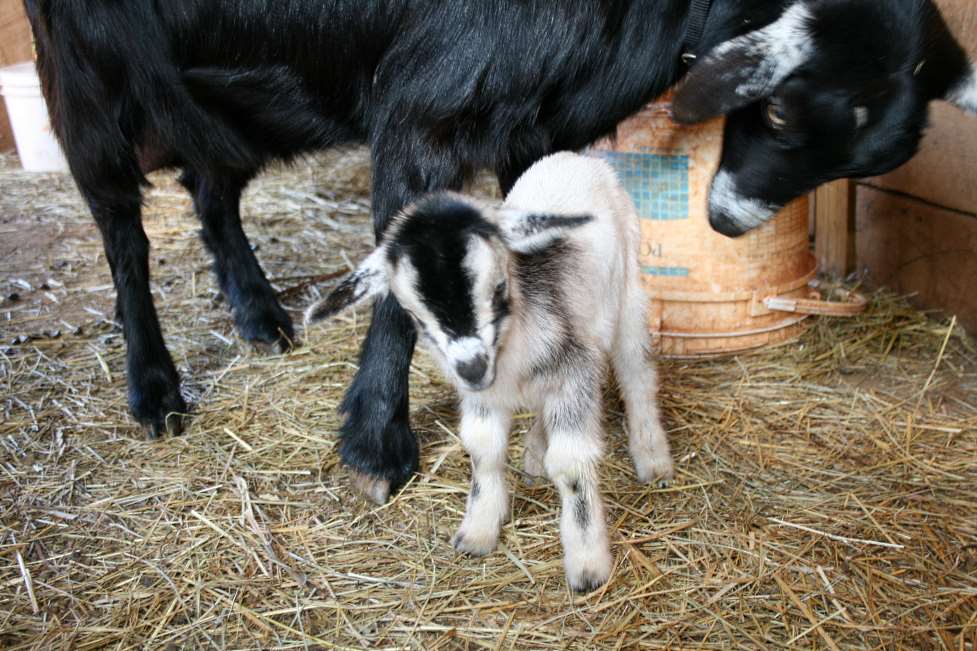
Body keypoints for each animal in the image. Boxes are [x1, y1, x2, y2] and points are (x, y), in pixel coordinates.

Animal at [25, 0, 976, 503]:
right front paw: (375, 442)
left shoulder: (538, 116)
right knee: (121, 228)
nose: (732, 222)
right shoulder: (430, 104)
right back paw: (154, 387)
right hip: (90, 70)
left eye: (871, 160)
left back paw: (258, 312)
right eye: (777, 110)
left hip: (224, 87)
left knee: (209, 185)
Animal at [307, 153, 673, 591]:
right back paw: (534, 456)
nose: (472, 367)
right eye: (415, 315)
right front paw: (477, 532)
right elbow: (484, 449)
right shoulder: (484, 396)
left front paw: (588, 566)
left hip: (629, 292)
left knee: (637, 374)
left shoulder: (574, 370)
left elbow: (570, 464)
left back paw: (652, 458)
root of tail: (576, 157)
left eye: (499, 288)